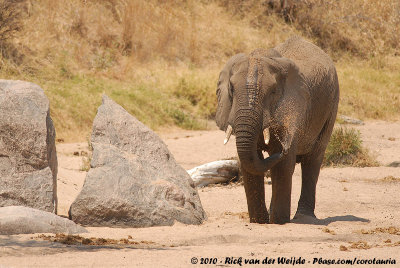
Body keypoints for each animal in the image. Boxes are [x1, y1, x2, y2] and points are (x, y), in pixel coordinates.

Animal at [217, 36, 340, 224]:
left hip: (332, 105)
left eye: (273, 91)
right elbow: (249, 165)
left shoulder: (293, 109)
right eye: (231, 89)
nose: (284, 148)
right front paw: (259, 221)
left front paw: (278, 221)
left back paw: (303, 217)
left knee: (312, 160)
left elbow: (283, 166)